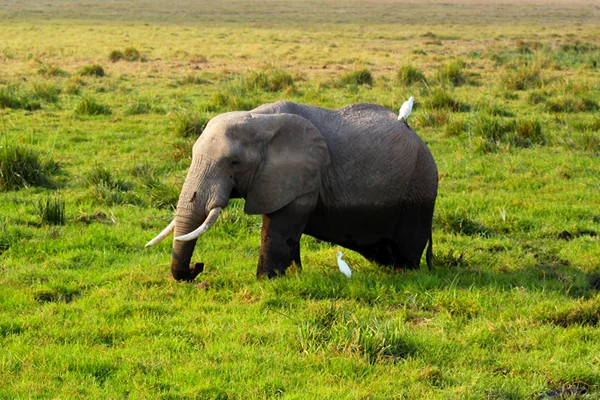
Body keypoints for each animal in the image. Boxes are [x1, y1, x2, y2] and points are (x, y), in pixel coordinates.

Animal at [145, 101, 436, 282]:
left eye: (234, 163)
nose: (198, 267)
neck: (259, 118)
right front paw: (295, 275)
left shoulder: (303, 178)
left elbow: (280, 228)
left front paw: (266, 281)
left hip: (419, 191)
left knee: (408, 248)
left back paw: (406, 273)